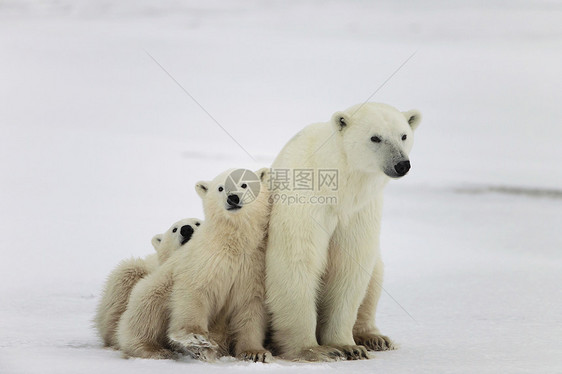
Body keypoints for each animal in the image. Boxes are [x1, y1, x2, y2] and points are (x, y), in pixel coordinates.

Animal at [118, 169, 272, 362]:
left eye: (244, 184)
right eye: (220, 188)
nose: (233, 198)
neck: (233, 243)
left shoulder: (253, 266)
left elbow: (250, 307)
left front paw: (255, 353)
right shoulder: (204, 259)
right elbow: (194, 291)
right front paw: (197, 340)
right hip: (154, 287)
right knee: (147, 311)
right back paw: (155, 350)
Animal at [264, 101, 418, 360]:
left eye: (403, 135)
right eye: (375, 137)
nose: (401, 164)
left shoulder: (359, 211)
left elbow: (349, 266)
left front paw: (348, 346)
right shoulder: (306, 202)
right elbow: (296, 261)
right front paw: (313, 350)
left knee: (375, 276)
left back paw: (374, 337)